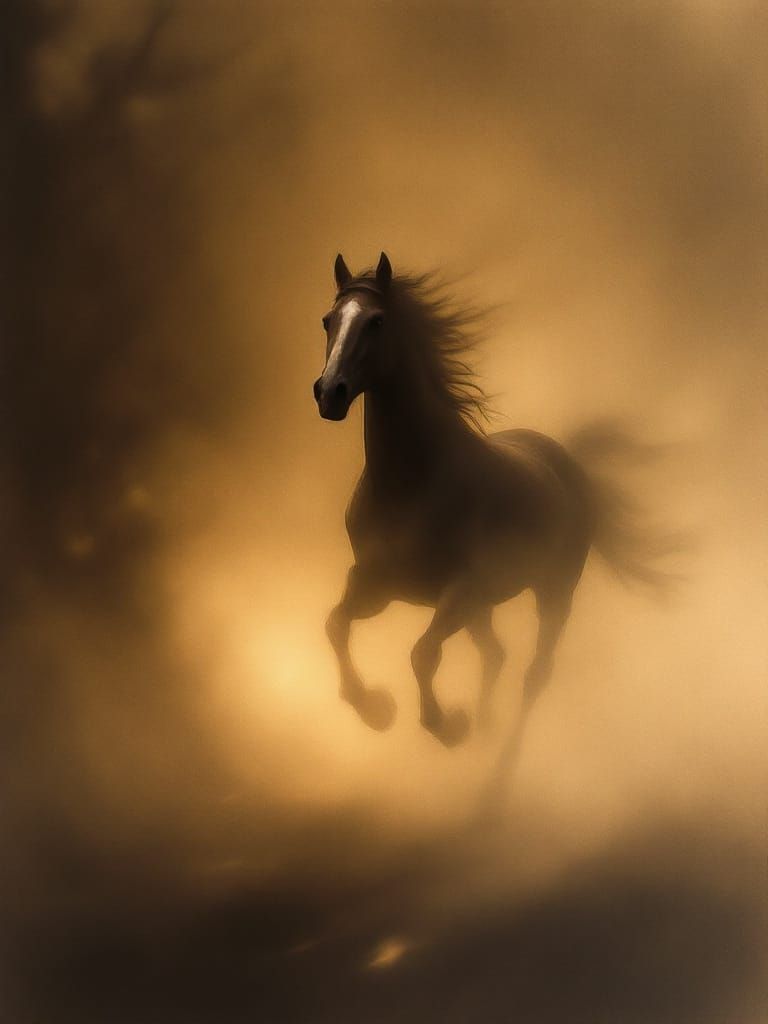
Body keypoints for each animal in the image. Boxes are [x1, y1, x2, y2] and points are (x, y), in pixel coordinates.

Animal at [313, 251, 672, 748]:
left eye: (376, 321)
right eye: (328, 320)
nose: (330, 392)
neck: (410, 487)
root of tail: (567, 461)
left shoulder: (462, 591)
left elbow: (423, 653)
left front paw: (447, 725)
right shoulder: (374, 583)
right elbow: (335, 625)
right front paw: (376, 710)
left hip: (553, 594)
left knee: (533, 674)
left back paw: (499, 754)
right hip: (484, 609)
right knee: (496, 654)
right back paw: (484, 725)